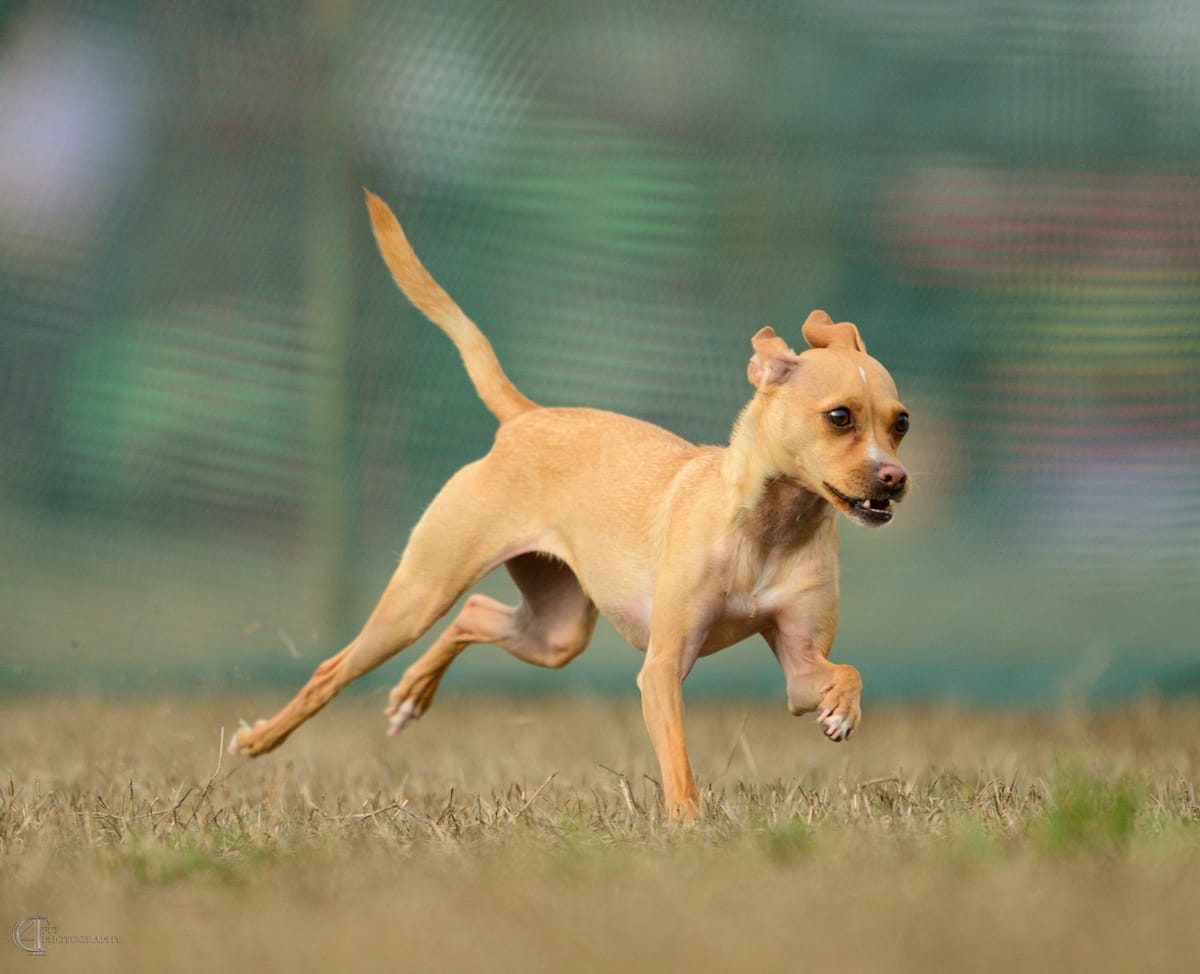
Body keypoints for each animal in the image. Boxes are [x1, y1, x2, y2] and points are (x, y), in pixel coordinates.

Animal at [231, 190, 907, 820]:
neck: (769, 527)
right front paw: (688, 826)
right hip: (418, 596)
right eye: (839, 417)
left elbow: (845, 672)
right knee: (335, 669)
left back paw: (414, 692)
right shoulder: (662, 667)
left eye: (900, 422)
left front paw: (843, 710)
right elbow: (678, 762)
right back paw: (261, 740)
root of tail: (525, 416)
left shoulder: (799, 667)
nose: (895, 478)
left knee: (475, 613)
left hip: (554, 633)